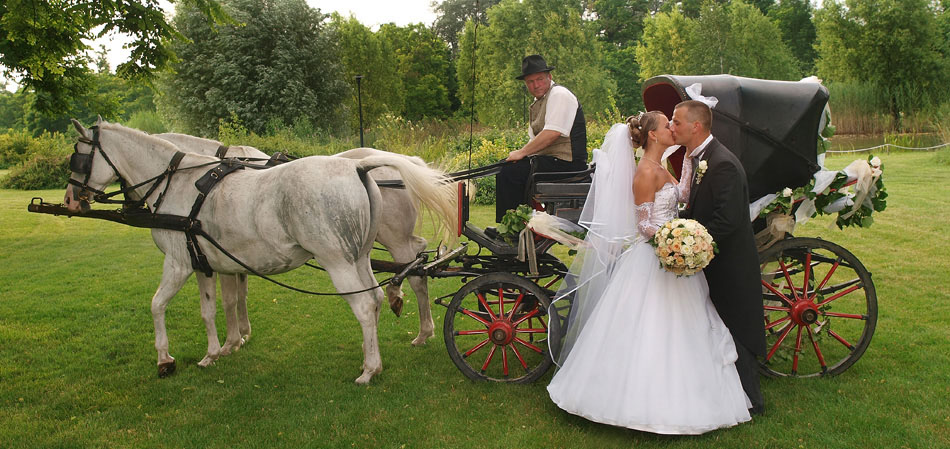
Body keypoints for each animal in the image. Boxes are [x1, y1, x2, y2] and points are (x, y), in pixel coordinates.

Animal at [156, 131, 438, 344]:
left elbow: (228, 299)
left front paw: (232, 340)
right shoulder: (235, 256)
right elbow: (240, 294)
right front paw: (243, 332)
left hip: (392, 238)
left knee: (414, 271)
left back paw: (419, 325)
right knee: (418, 254)